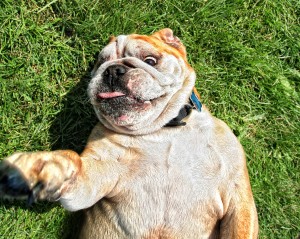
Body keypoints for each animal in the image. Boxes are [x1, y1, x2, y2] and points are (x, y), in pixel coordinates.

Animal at [0, 29, 258, 238]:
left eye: (150, 60)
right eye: (101, 62)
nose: (113, 70)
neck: (166, 130)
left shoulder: (238, 198)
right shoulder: (96, 173)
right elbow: (74, 165)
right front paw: (45, 166)